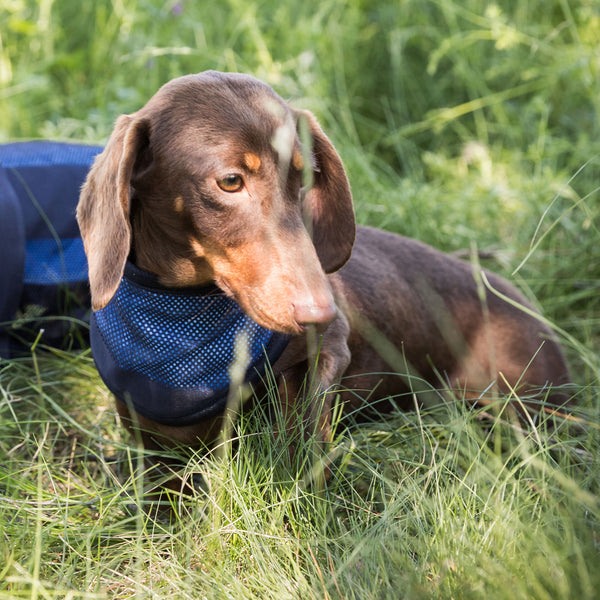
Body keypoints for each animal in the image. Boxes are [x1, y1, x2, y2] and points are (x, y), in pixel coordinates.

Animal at [78, 70, 572, 472]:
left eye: (304, 178)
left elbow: (304, 438)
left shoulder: (328, 353)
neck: (185, 320)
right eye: (231, 181)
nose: (321, 311)